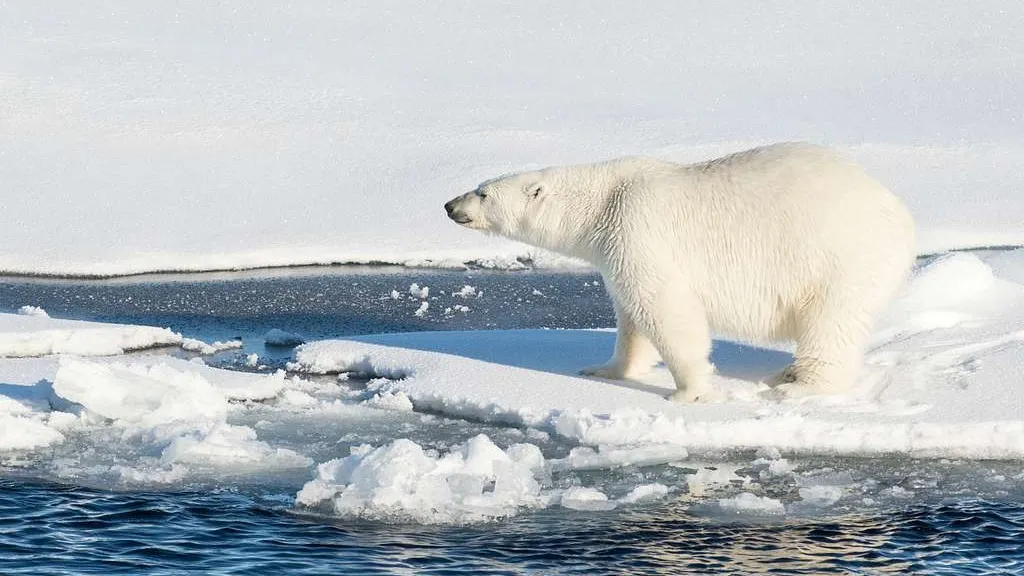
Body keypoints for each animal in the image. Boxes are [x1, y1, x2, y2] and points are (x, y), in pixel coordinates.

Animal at [444, 143, 917, 399]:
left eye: (482, 193)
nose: (449, 205)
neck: (602, 201)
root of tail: (901, 213)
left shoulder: (637, 228)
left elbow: (666, 309)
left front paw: (689, 391)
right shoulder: (616, 246)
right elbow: (630, 318)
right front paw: (605, 370)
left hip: (842, 259)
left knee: (831, 322)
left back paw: (800, 386)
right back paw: (786, 372)